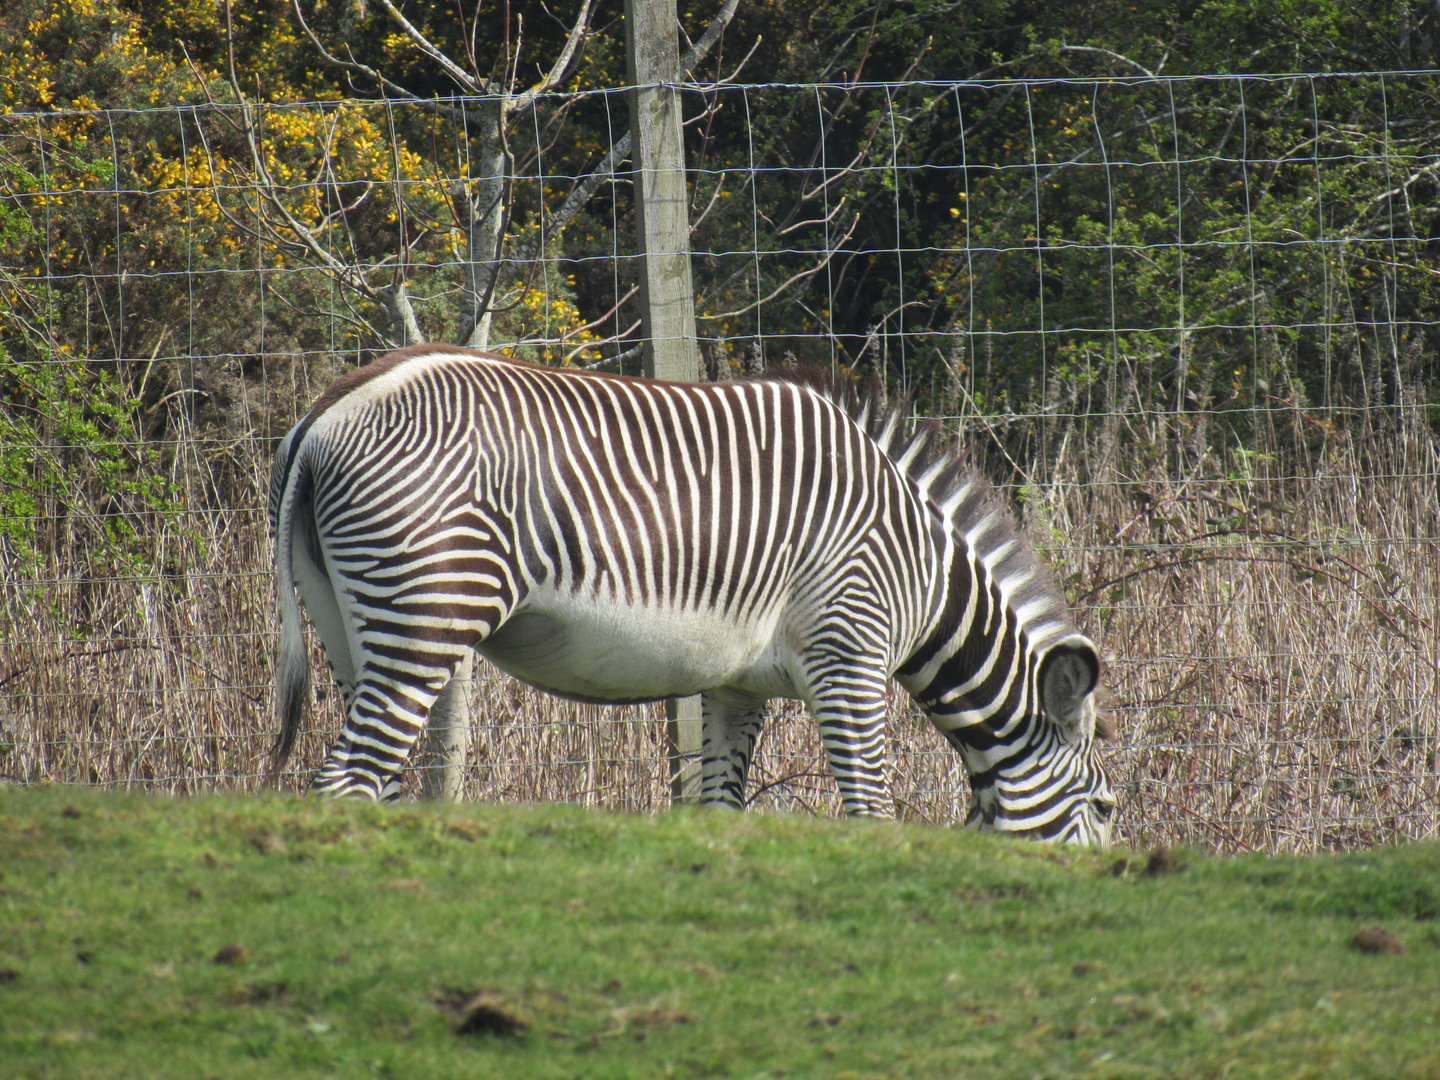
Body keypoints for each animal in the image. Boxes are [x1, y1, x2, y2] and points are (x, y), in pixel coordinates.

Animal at [269, 344, 1116, 844]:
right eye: (1107, 810)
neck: (926, 569)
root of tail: (327, 410)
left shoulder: (737, 684)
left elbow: (722, 808)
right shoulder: (850, 654)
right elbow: (869, 808)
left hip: (347, 621)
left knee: (371, 776)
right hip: (427, 611)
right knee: (348, 779)